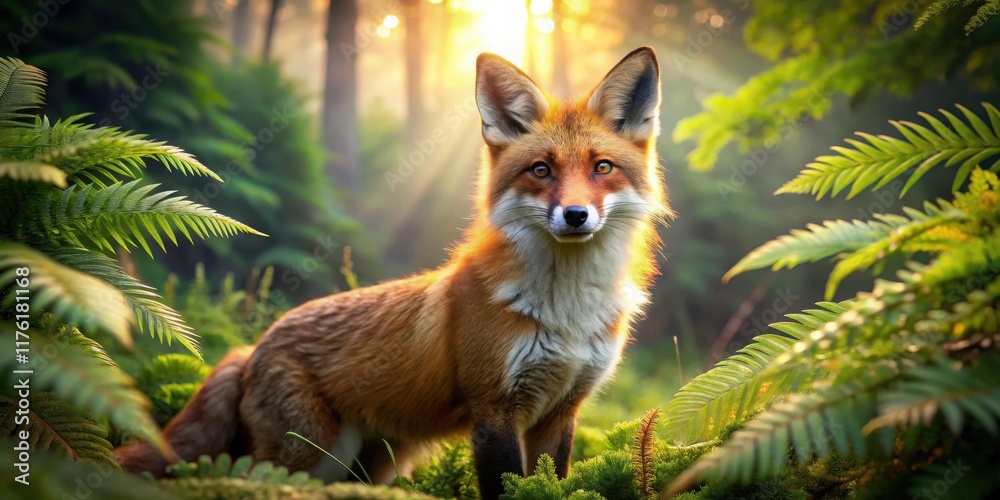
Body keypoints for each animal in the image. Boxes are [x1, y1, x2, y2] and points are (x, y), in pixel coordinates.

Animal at [115, 46, 671, 499]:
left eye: (601, 168)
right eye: (541, 170)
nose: (576, 215)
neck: (567, 311)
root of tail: (252, 347)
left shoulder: (561, 411)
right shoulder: (494, 411)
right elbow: (506, 486)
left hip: (369, 465)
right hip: (306, 457)